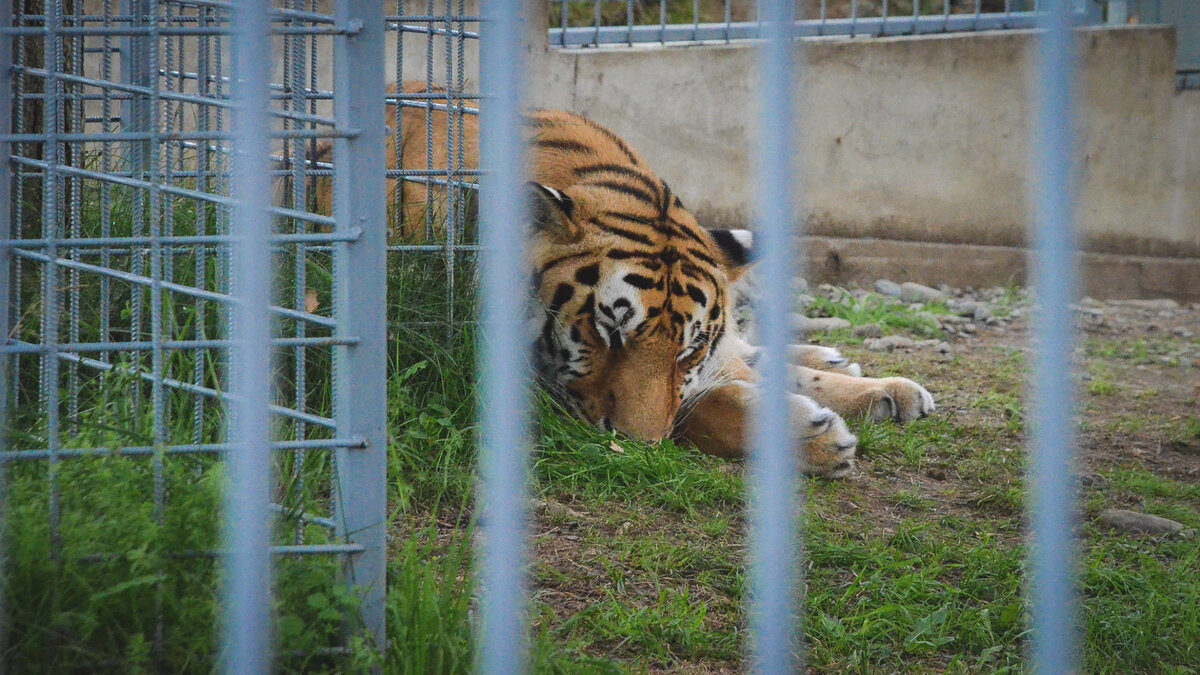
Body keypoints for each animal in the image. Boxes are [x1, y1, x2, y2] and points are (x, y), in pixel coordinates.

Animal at [316, 82, 936, 473]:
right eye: (607, 330)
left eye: (686, 351)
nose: (639, 446)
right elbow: (701, 410)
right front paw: (819, 440)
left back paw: (880, 385)